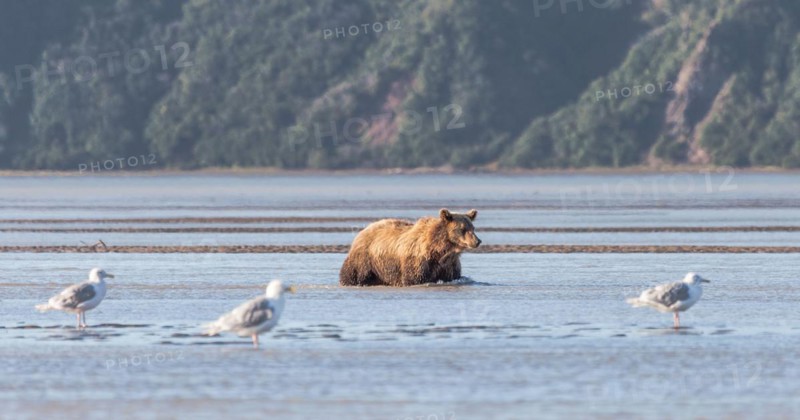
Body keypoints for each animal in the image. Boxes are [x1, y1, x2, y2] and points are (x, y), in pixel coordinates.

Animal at [339, 208, 481, 287]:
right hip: (365, 260)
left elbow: (454, 277)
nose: (477, 241)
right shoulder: (417, 261)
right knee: (353, 274)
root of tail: (363, 230)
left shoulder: (449, 265)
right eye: (462, 229)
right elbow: (414, 278)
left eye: (473, 228)